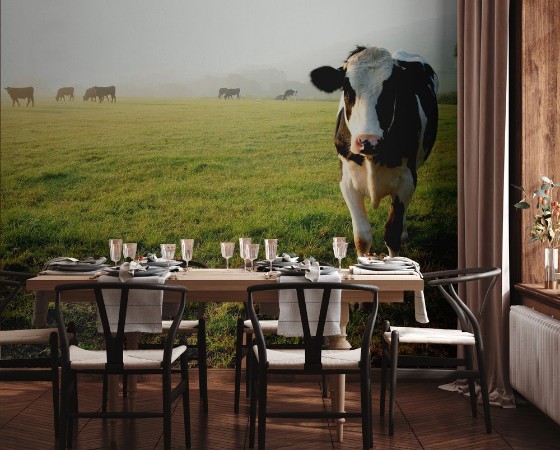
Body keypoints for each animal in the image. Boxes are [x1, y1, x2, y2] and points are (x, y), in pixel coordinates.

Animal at [310, 46, 438, 256]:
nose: (368, 141)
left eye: (393, 90)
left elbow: (392, 234)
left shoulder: (407, 179)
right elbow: (362, 238)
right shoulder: (347, 181)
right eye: (347, 89)